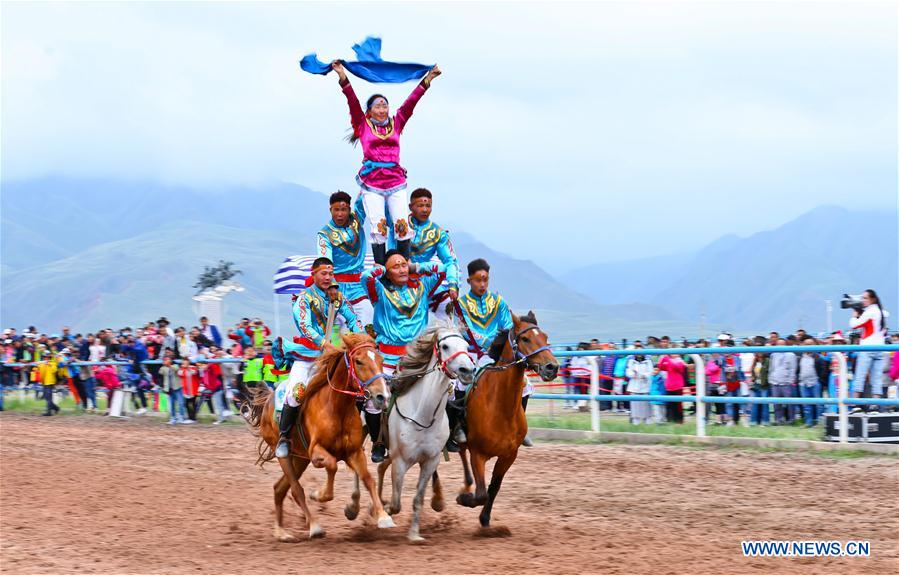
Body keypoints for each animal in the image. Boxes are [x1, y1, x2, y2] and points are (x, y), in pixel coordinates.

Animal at [244, 332, 396, 540]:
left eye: (381, 360)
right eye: (358, 361)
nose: (382, 396)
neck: (337, 408)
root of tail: (268, 401)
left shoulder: (354, 452)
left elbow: (368, 479)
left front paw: (383, 516)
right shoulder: (316, 451)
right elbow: (332, 465)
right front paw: (319, 495)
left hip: (299, 459)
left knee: (279, 488)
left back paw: (281, 532)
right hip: (284, 455)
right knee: (296, 489)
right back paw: (313, 526)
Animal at [378, 326, 478, 544]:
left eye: (467, 346)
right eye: (445, 346)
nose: (467, 371)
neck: (422, 415)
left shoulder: (430, 461)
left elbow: (418, 499)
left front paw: (414, 534)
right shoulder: (400, 461)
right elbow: (396, 503)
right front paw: (386, 511)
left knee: (380, 468)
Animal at [458, 312, 556, 528]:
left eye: (545, 337)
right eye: (525, 338)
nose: (552, 367)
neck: (501, 409)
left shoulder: (509, 455)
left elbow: (493, 488)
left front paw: (485, 519)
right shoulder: (477, 453)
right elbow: (481, 493)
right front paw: (464, 499)